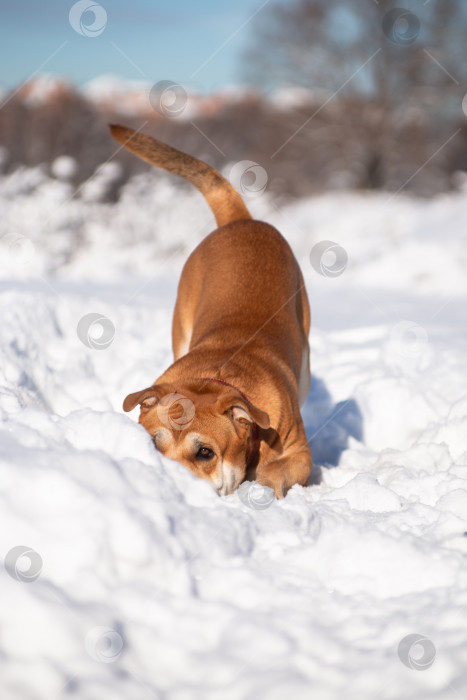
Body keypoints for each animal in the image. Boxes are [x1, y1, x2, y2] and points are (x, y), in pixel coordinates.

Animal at [111, 126, 312, 498]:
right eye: (152, 444)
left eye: (205, 452)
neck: (216, 379)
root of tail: (242, 221)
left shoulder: (299, 451)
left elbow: (275, 472)